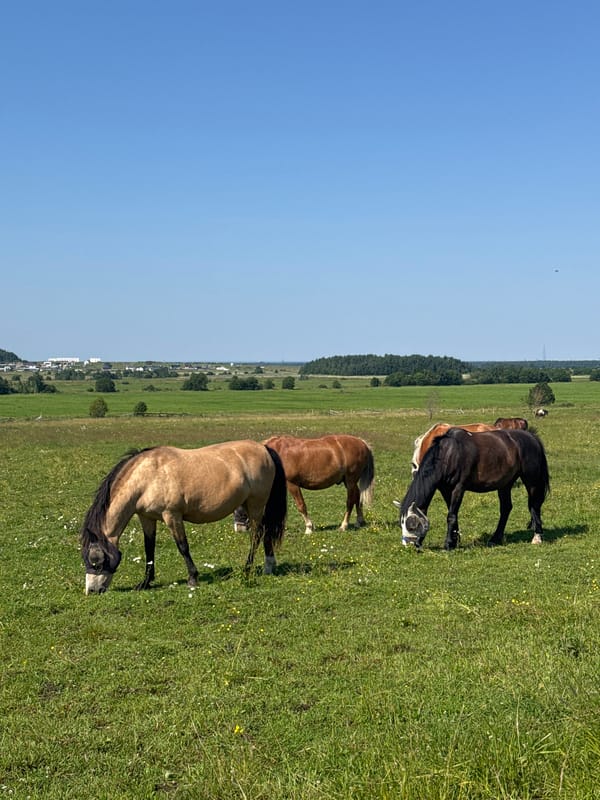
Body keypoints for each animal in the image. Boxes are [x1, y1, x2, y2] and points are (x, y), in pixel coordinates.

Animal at [80, 441, 287, 594]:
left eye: (95, 561)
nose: (91, 591)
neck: (148, 477)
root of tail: (264, 448)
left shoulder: (172, 516)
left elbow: (183, 547)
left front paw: (193, 578)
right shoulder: (146, 518)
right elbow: (149, 549)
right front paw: (145, 582)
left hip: (256, 505)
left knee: (257, 535)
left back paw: (247, 569)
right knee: (266, 532)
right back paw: (268, 566)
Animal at [234, 434, 375, 534]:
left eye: (240, 510)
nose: (238, 529)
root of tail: (362, 443)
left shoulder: (292, 484)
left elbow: (301, 505)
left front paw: (309, 527)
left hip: (350, 481)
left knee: (350, 501)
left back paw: (344, 525)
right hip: (349, 481)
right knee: (357, 496)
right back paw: (359, 521)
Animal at [394, 427, 550, 550]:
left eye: (411, 525)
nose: (408, 544)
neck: (448, 454)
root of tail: (532, 437)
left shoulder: (458, 488)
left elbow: (451, 516)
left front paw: (448, 544)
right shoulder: (445, 490)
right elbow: (452, 514)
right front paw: (455, 540)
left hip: (532, 481)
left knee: (534, 506)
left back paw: (537, 536)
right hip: (505, 484)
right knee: (506, 508)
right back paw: (495, 538)